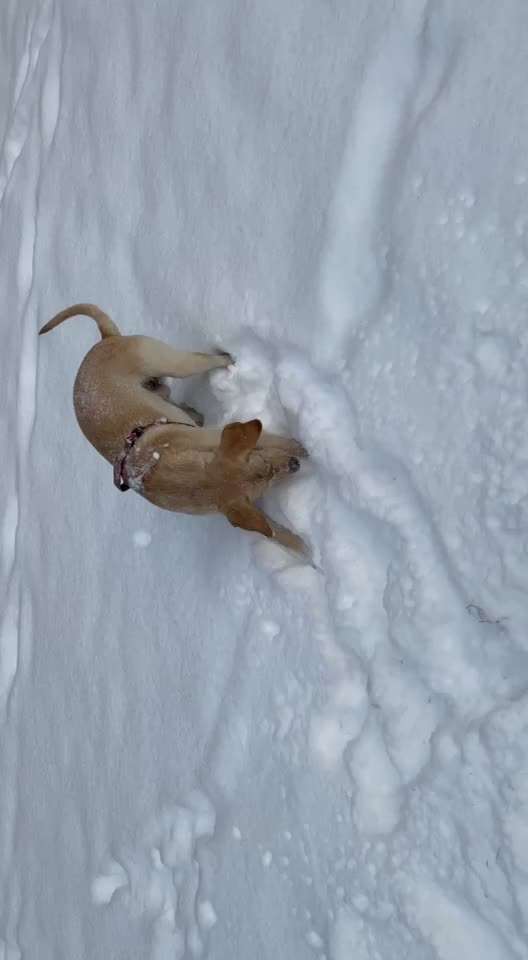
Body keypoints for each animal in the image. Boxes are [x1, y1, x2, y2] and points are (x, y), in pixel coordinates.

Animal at [40, 304, 310, 560]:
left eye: (263, 461)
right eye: (267, 478)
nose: (294, 465)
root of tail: (105, 340)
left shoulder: (223, 438)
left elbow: (278, 440)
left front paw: (303, 449)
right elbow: (272, 531)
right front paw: (304, 550)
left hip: (169, 362)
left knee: (206, 359)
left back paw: (227, 360)